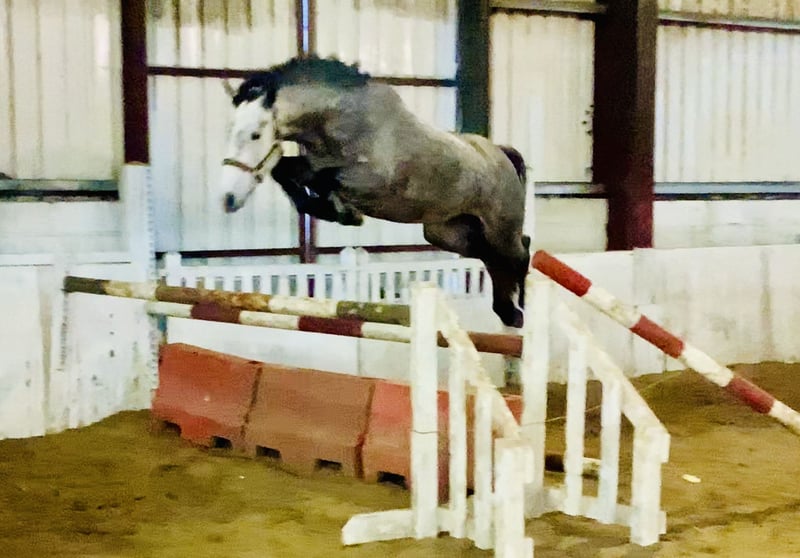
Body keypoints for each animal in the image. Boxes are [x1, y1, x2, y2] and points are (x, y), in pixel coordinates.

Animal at [219, 55, 531, 328]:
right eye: (230, 130)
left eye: (255, 135)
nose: (228, 200)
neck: (340, 122)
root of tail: (500, 153)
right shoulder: (312, 164)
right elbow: (285, 171)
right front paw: (332, 209)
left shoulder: (374, 181)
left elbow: (322, 177)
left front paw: (342, 212)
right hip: (448, 233)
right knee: (493, 257)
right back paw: (506, 311)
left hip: (499, 228)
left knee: (520, 252)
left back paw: (521, 310)